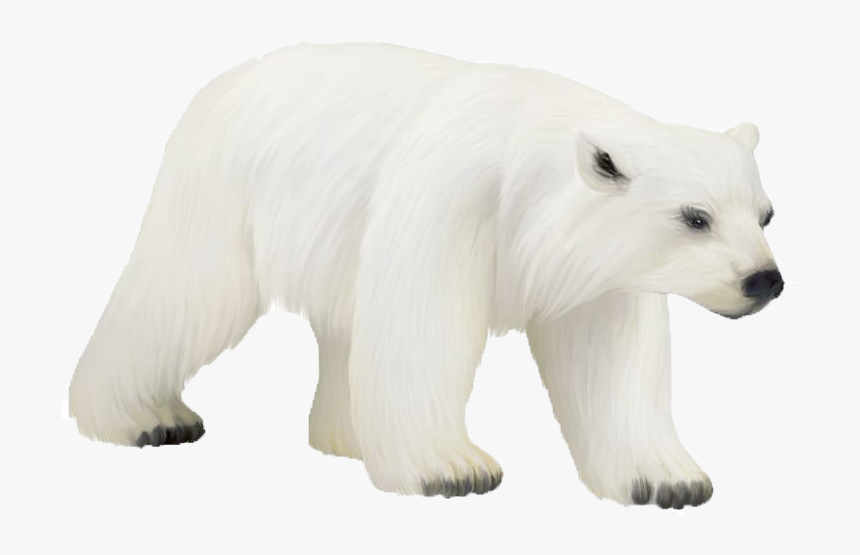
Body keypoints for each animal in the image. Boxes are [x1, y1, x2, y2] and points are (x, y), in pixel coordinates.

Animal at [69, 43, 782, 509]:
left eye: (766, 214)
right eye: (694, 216)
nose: (764, 281)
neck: (527, 167)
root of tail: (218, 83)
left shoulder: (597, 270)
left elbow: (610, 360)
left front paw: (669, 480)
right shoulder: (452, 202)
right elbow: (424, 327)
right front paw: (453, 470)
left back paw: (351, 436)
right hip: (224, 192)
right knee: (186, 294)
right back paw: (145, 419)